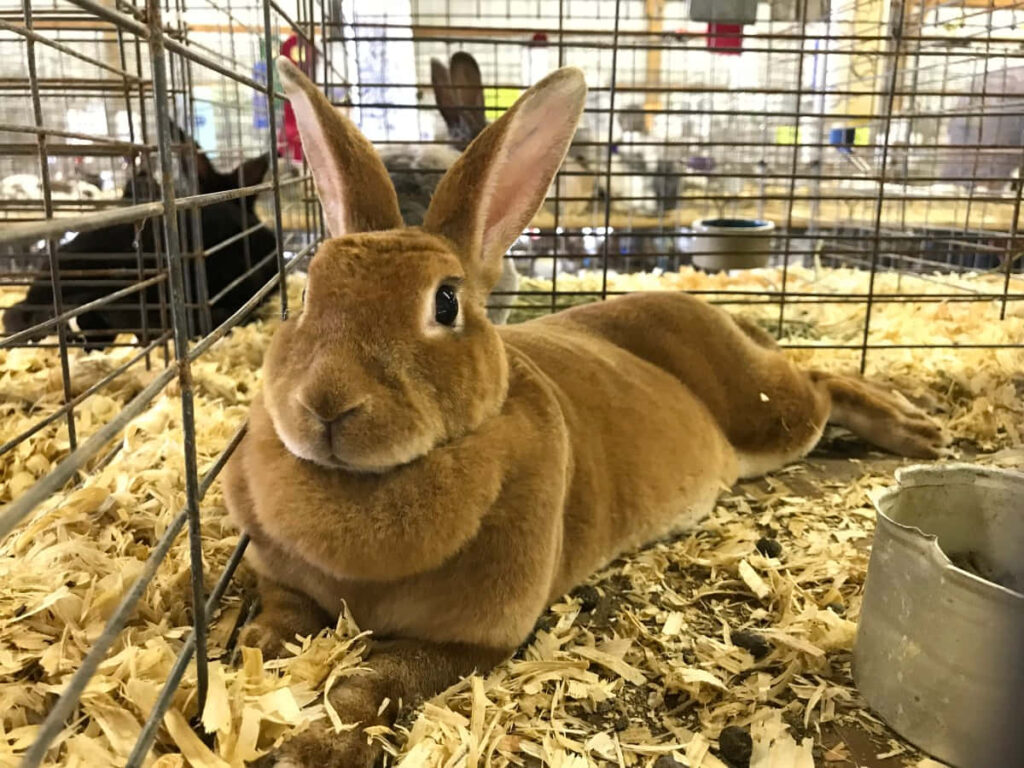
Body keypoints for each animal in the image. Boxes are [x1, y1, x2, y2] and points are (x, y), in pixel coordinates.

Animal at [223, 57, 949, 768]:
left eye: (446, 303)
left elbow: (377, 682)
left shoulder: (468, 639)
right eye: (308, 293)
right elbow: (279, 625)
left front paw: (311, 747)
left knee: (822, 382)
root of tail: (713, 312)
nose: (326, 403)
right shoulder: (284, 581)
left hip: (769, 416)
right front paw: (247, 662)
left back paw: (919, 432)